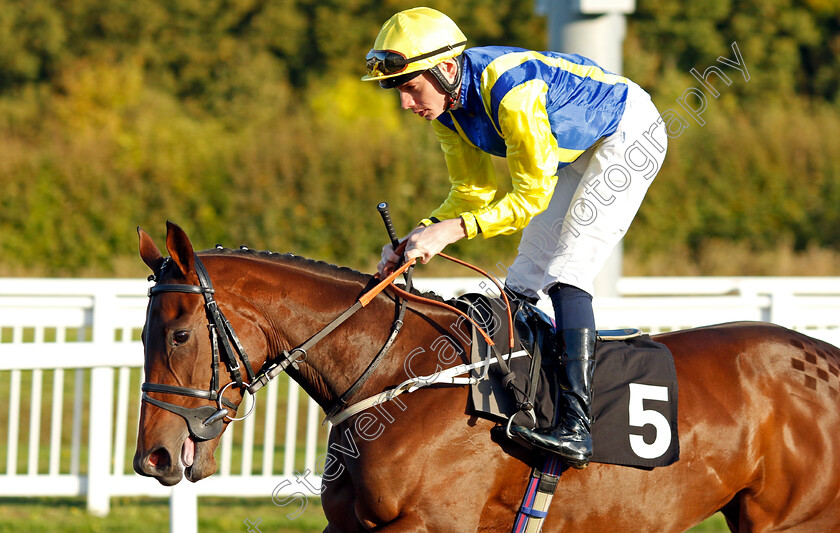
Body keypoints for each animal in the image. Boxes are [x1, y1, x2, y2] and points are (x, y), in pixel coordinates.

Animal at [135, 222, 840, 528]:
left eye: (178, 334)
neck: (401, 380)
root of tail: (823, 358)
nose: (153, 457)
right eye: (143, 336)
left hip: (794, 522)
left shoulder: (436, 524)